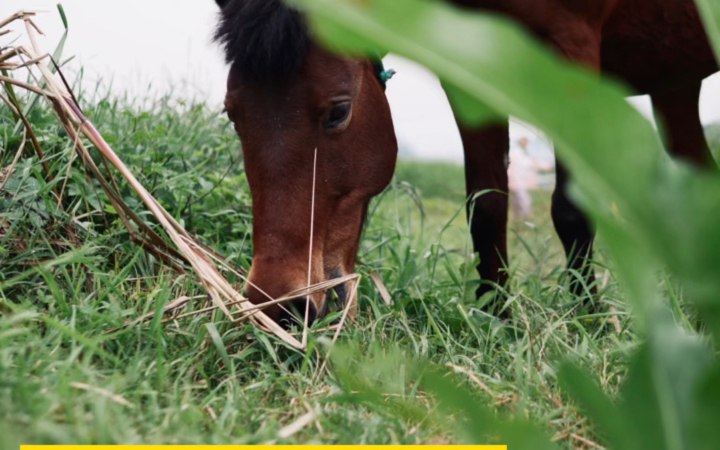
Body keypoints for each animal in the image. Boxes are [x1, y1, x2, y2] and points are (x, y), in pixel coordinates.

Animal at [214, 0, 720, 326]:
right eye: (232, 113)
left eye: (339, 111)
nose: (278, 306)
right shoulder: (469, 72)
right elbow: (486, 208)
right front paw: (498, 322)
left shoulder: (571, 52)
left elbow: (572, 211)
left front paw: (589, 323)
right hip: (676, 80)